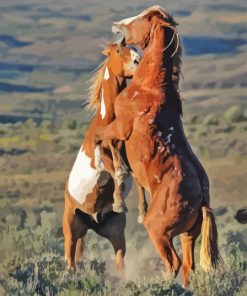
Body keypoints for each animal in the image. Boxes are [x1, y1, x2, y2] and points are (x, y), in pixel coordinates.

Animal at [63, 42, 147, 272]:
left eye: (137, 49)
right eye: (119, 50)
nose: (139, 62)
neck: (107, 120)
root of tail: (92, 222)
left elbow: (132, 174)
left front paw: (140, 210)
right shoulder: (100, 160)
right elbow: (118, 170)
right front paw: (119, 202)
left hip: (115, 234)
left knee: (118, 261)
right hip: (71, 230)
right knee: (70, 261)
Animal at [94, 5, 220, 286]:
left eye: (141, 19)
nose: (116, 25)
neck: (149, 87)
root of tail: (201, 201)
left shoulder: (120, 127)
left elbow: (101, 139)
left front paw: (116, 185)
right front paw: (135, 203)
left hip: (159, 232)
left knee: (173, 263)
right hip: (187, 235)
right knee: (188, 266)